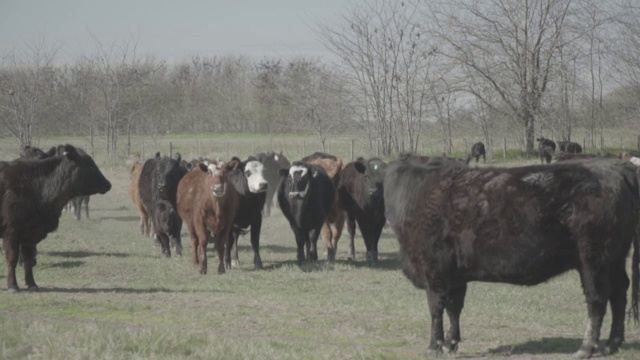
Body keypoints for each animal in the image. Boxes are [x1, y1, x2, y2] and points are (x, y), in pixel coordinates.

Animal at [0, 144, 112, 292]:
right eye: (89, 165)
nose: (108, 184)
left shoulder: (30, 234)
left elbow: (28, 259)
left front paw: (32, 283)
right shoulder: (11, 232)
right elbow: (12, 259)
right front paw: (13, 285)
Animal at [384, 157, 640, 358]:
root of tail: (614, 166)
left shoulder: (433, 271)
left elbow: (436, 308)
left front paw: (433, 346)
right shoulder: (455, 274)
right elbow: (454, 308)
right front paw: (451, 343)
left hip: (593, 259)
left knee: (597, 298)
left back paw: (586, 347)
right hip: (615, 259)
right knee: (619, 292)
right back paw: (612, 344)